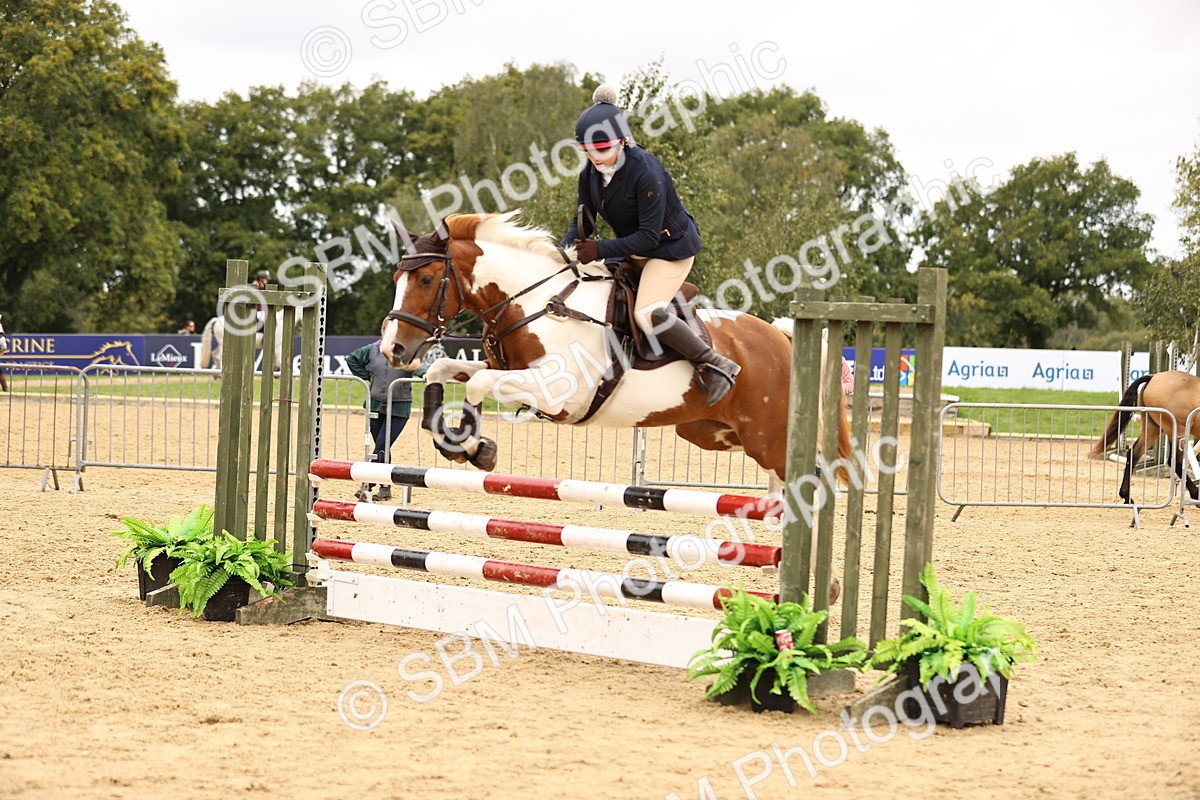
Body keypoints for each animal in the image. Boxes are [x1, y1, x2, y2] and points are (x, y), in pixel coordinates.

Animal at [379, 211, 851, 488]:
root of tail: (781, 338)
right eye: (396, 280)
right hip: (712, 433)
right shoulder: (509, 372)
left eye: (426, 280)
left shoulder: (557, 393)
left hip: (769, 439)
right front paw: (446, 435)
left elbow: (477, 384)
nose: (392, 350)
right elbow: (443, 372)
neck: (536, 302)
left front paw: (476, 447)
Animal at [1092, 370, 1200, 503]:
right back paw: (1196, 494)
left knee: (1134, 453)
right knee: (1176, 462)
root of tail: (1154, 377)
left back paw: (1126, 496)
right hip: (1178, 429)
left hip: (1152, 427)